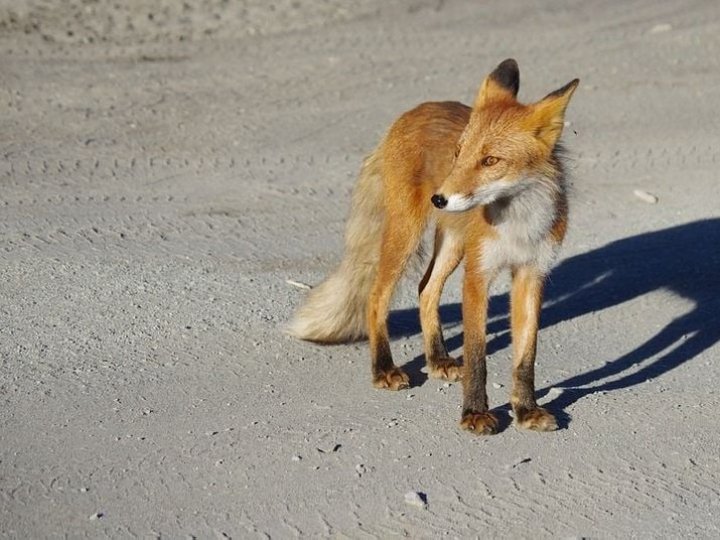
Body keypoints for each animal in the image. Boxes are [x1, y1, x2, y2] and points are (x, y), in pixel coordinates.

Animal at [290, 59, 576, 434]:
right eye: (458, 152)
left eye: (490, 161)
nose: (439, 198)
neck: (518, 224)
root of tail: (416, 109)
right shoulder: (477, 274)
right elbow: (477, 355)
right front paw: (474, 413)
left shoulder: (532, 274)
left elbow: (526, 356)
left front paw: (526, 409)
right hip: (407, 235)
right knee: (376, 296)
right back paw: (383, 368)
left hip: (453, 243)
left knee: (426, 288)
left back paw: (437, 358)